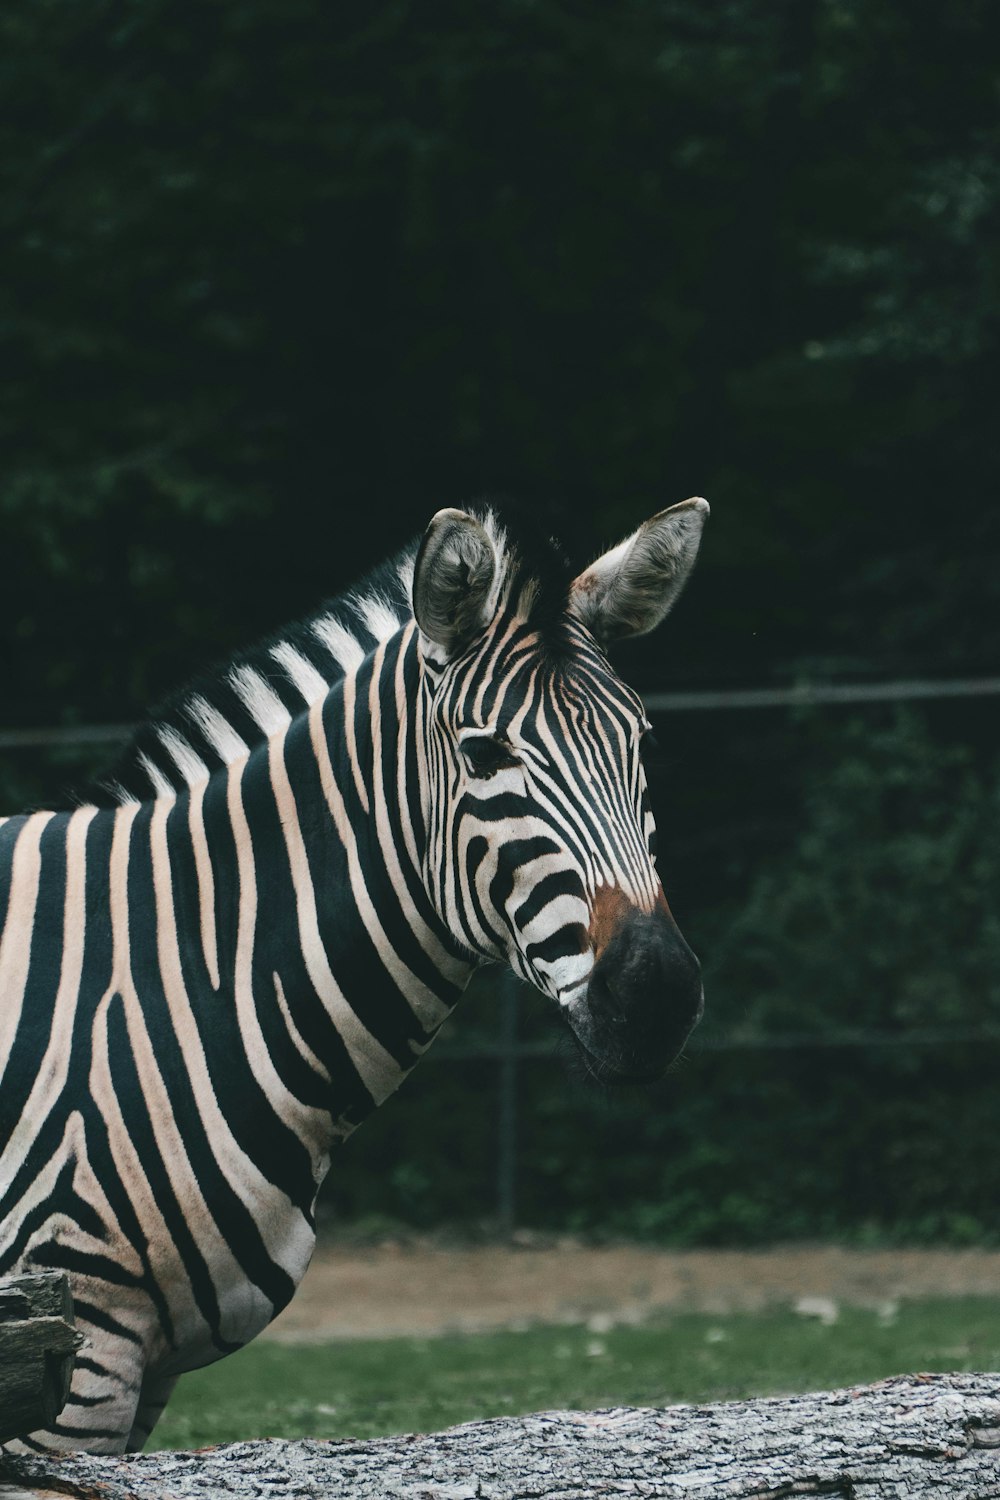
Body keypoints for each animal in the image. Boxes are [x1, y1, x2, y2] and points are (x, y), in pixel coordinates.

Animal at [1, 501, 710, 1452]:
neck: (178, 981)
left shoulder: (143, 1369)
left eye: (640, 742)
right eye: (484, 757)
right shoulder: (73, 1342)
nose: (655, 995)